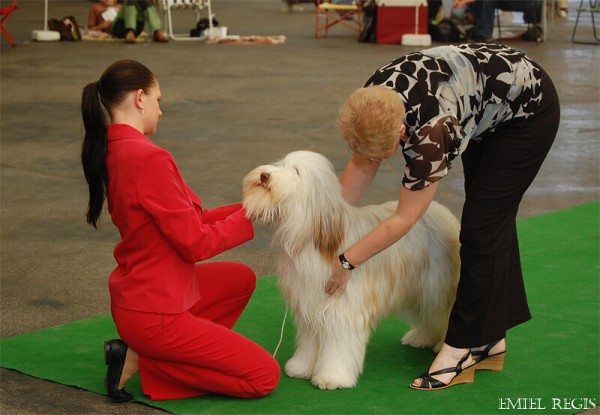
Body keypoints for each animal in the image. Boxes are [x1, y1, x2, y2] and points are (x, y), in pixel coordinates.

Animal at [243, 151, 460, 392]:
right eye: (281, 164)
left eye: (296, 171)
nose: (264, 175)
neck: (314, 235)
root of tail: (441, 210)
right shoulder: (310, 304)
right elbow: (310, 341)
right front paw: (301, 367)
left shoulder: (341, 308)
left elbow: (339, 344)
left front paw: (332, 377)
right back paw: (421, 337)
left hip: (436, 286)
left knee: (442, 313)